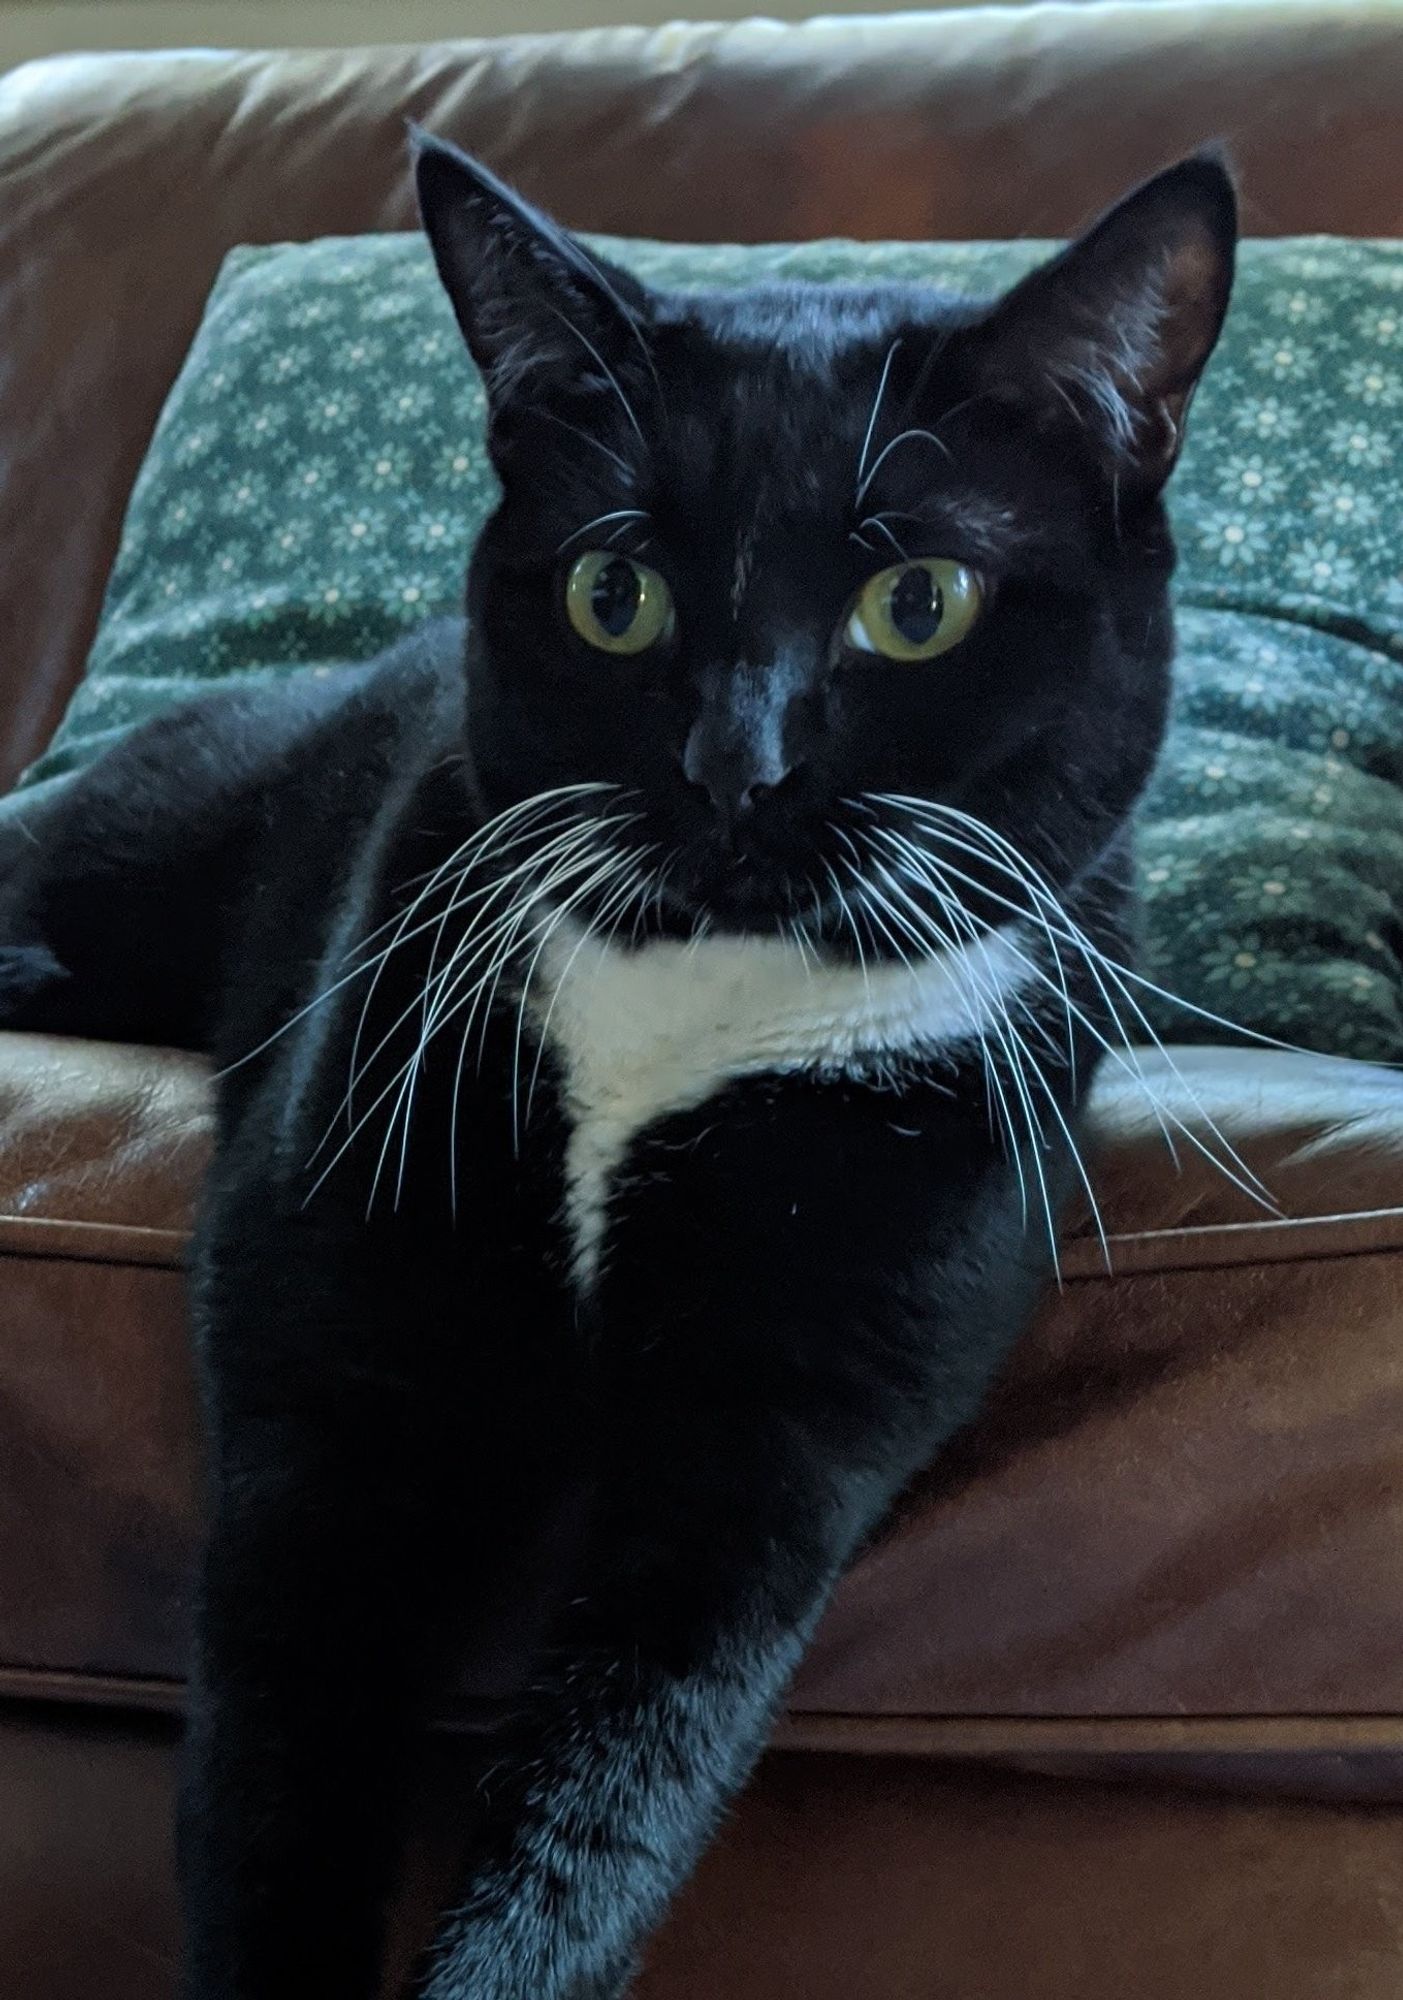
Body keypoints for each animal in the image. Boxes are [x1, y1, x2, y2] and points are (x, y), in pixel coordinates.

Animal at [0, 133, 1239, 1992]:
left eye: (918, 603)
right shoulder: (340, 1327)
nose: (734, 763)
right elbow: (281, 1737)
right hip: (131, 855)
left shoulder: (788, 1411)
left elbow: (621, 1778)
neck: (686, 991)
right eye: (612, 591)